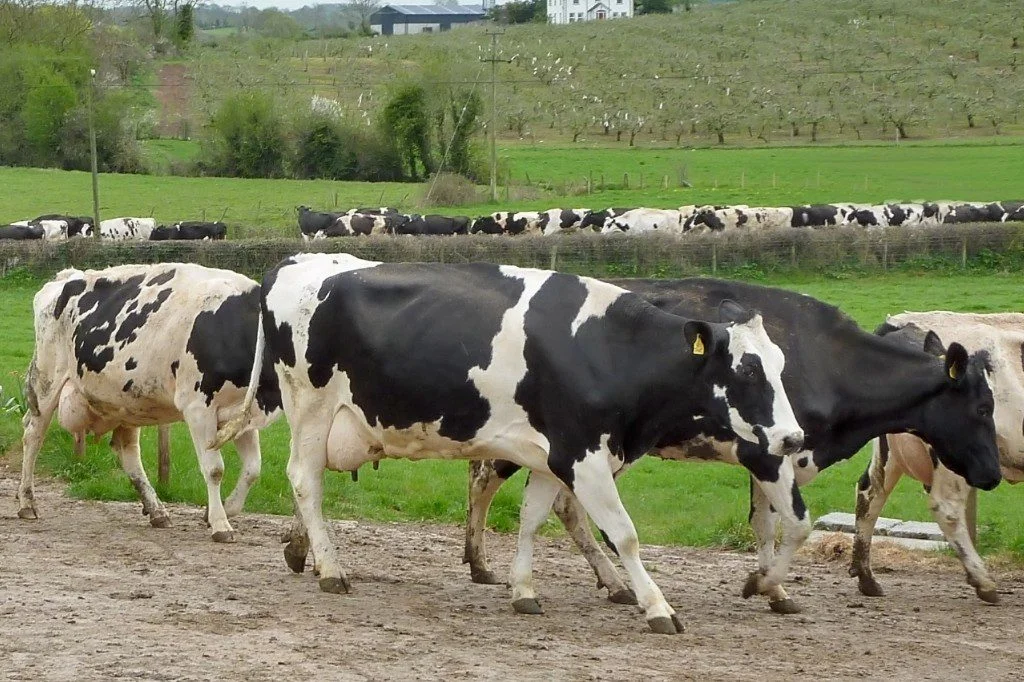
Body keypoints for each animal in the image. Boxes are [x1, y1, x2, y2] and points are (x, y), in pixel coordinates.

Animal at [17, 264, 282, 541]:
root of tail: (66, 276)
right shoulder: (198, 408)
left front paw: (223, 510)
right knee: (33, 434)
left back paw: (156, 510)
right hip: (47, 381)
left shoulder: (242, 412)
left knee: (127, 451)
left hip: (125, 401)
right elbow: (214, 469)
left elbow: (253, 469)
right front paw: (220, 523)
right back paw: (27, 502)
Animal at [212, 254, 805, 634]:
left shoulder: (549, 458)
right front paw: (657, 607)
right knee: (304, 480)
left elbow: (531, 521)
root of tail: (296, 261)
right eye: (748, 371)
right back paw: (332, 571)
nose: (793, 436)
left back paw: (305, 555)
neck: (607, 349)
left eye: (780, 365)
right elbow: (626, 535)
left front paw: (524, 591)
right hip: (311, 408)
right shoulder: (583, 456)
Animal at [462, 278, 1002, 613]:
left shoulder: (772, 454)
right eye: (982, 408)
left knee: (558, 504)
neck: (825, 360)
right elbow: (798, 525)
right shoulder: (769, 454)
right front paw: (761, 583)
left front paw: (775, 590)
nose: (994, 475)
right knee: (487, 478)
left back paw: (607, 583)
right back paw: (482, 564)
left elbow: (766, 526)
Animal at [850, 312, 1023, 604]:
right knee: (947, 508)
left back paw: (866, 577)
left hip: (891, 453)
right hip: (954, 457)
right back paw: (983, 581)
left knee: (870, 492)